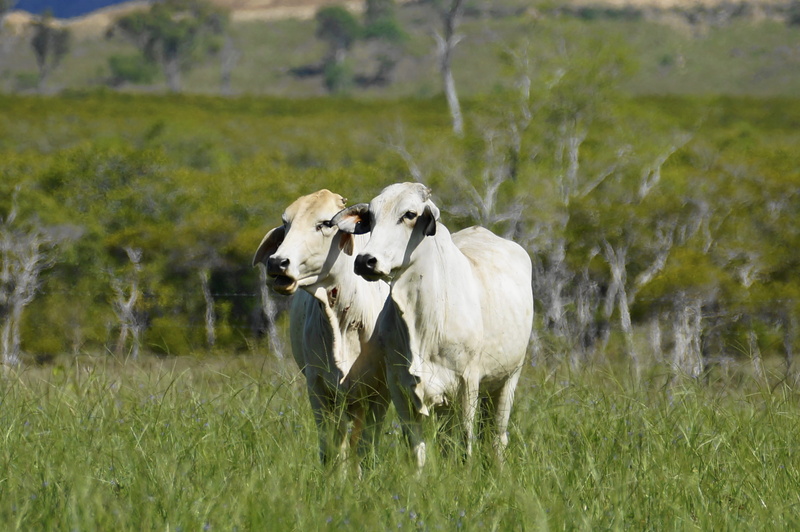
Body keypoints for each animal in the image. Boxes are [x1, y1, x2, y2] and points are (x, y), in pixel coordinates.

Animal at [252, 190, 391, 471]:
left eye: (326, 223)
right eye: (286, 223)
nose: (277, 262)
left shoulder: (379, 393)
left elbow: (366, 447)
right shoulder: (318, 389)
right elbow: (331, 450)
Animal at [332, 182, 534, 469]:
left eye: (409, 214)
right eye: (370, 217)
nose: (365, 261)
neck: (423, 321)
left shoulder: (467, 384)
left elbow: (466, 442)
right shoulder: (400, 387)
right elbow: (416, 449)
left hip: (508, 379)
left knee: (497, 437)